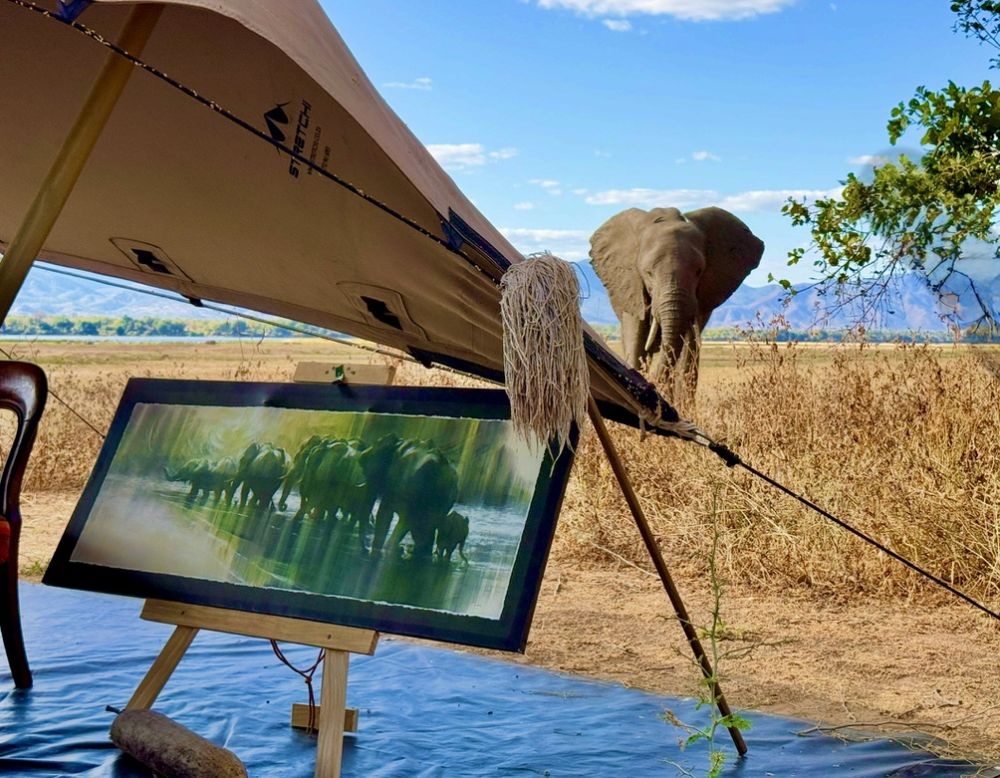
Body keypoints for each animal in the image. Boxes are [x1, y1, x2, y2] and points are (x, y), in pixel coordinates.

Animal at [590, 206, 764, 394]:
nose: (651, 384)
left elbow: (688, 350)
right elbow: (636, 343)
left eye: (699, 271)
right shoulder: (632, 287)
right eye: (648, 273)